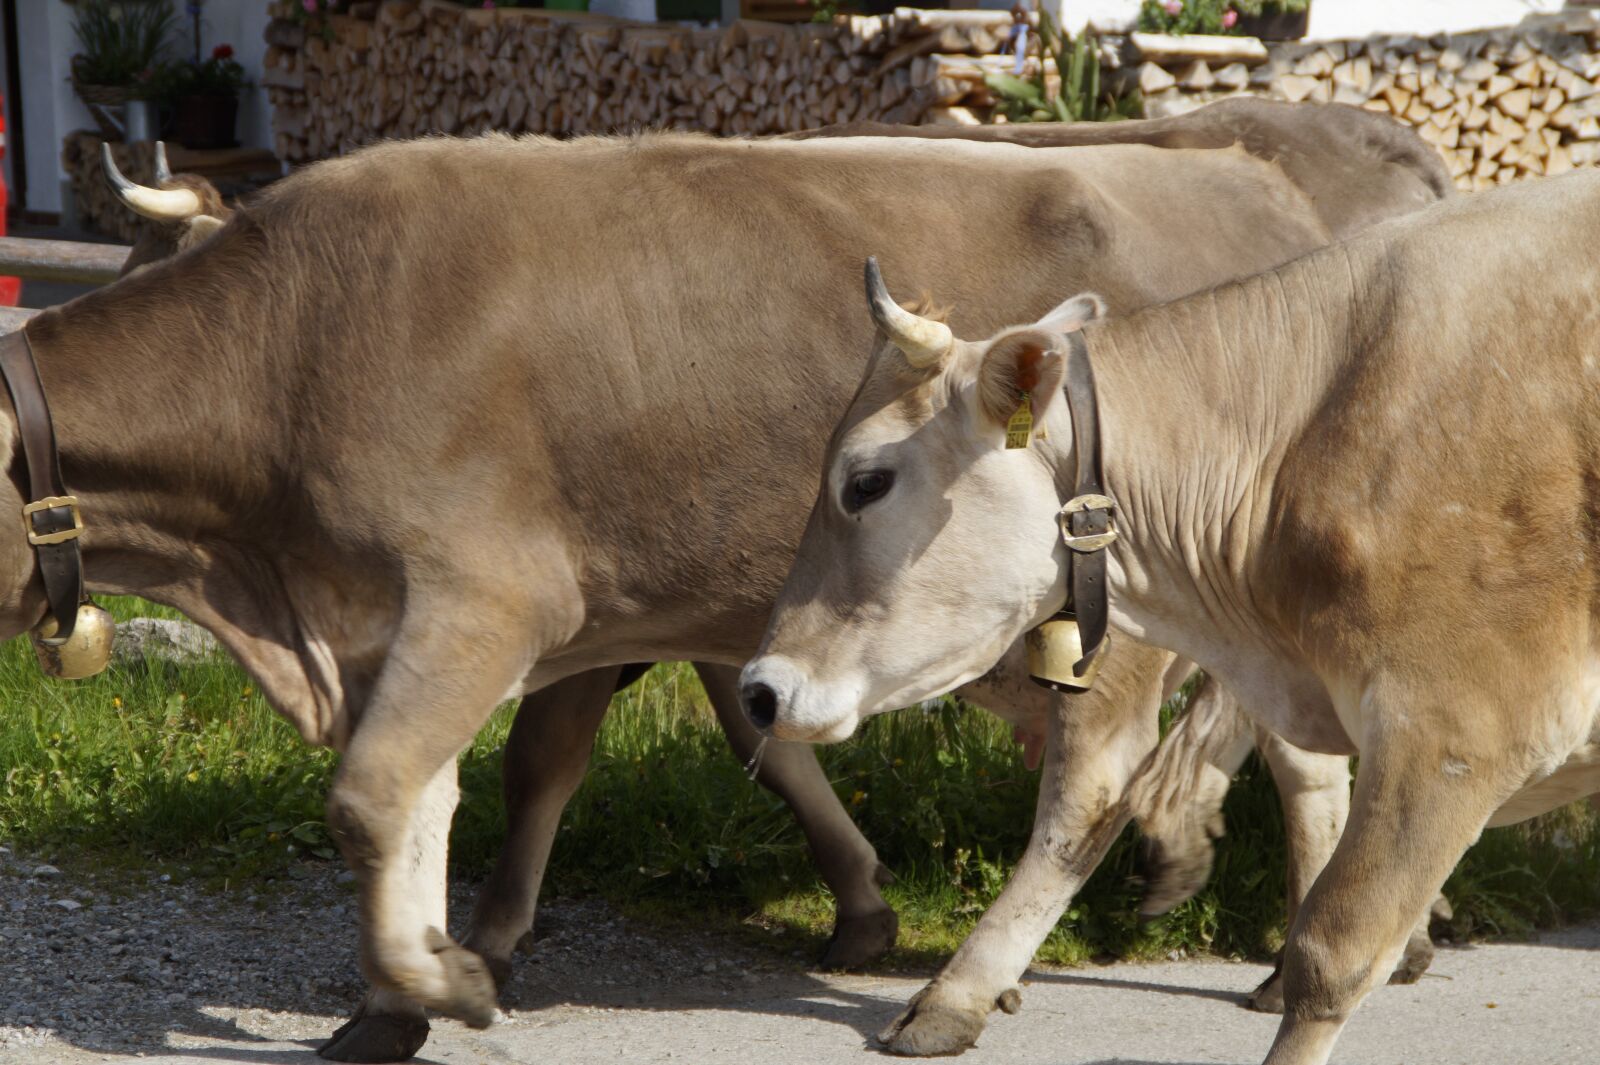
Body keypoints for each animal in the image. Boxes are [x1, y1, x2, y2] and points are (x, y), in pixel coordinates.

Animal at [18, 108, 1436, 1062]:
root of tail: (1239, 168)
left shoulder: (506, 603)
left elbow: (426, 784)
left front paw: (455, 969)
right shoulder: (498, 624)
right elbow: (470, 782)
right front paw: (423, 974)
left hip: (1112, 610)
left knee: (1093, 781)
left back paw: (966, 991)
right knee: (1305, 757)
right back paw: (1290, 952)